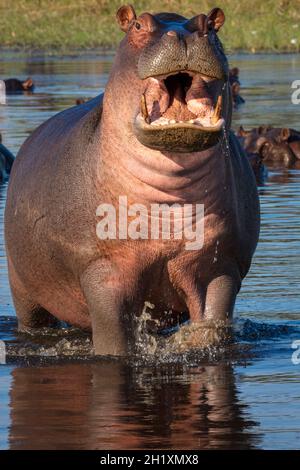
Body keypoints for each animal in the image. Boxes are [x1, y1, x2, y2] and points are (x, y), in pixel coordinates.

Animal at [3, 4, 258, 356]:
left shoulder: (219, 265)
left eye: (212, 23)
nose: (184, 34)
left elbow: (212, 324)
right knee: (34, 320)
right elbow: (113, 337)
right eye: (138, 25)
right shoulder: (103, 270)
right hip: (24, 289)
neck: (171, 193)